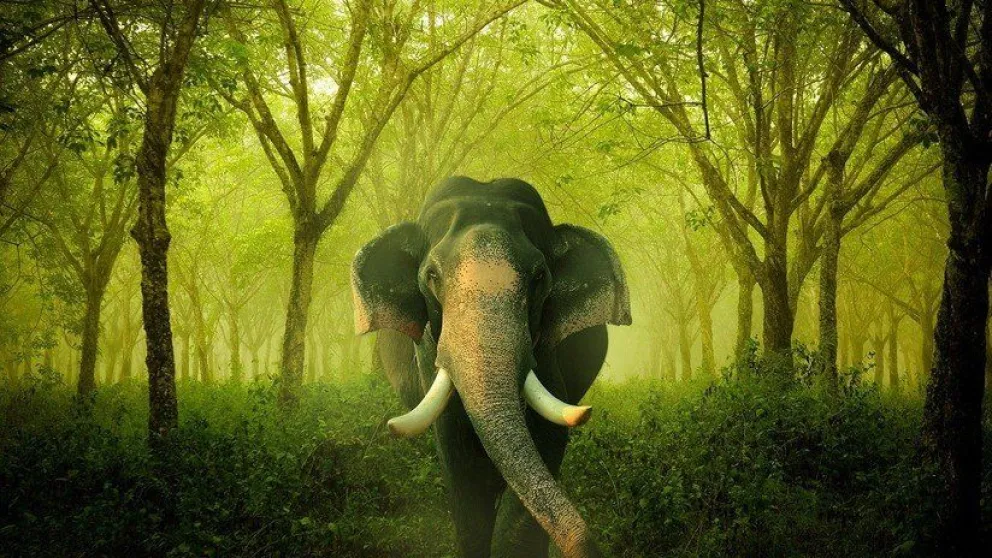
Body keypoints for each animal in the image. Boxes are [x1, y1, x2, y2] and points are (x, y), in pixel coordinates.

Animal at [351, 176, 631, 558]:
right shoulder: (428, 348)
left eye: (540, 276)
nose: (590, 547)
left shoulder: (546, 347)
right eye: (432, 274)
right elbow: (456, 450)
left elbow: (547, 435)